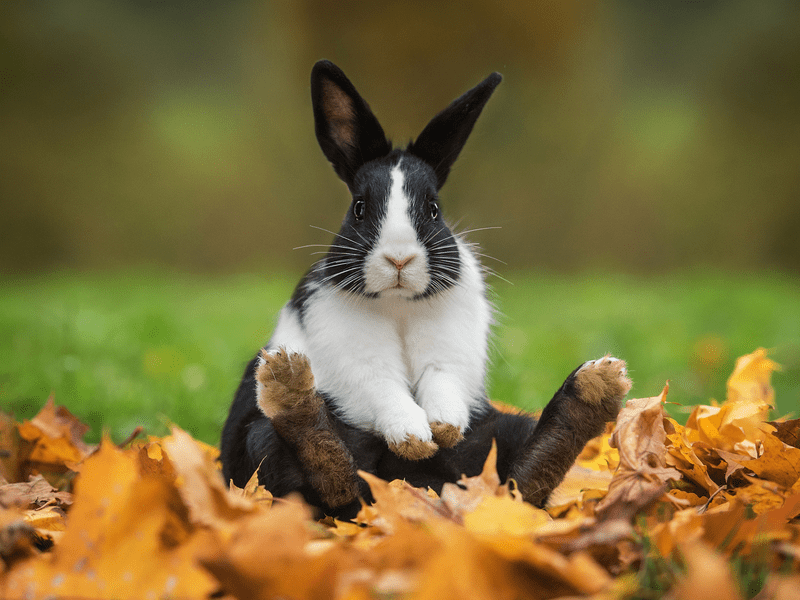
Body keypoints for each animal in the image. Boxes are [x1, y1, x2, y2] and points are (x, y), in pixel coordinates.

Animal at [220, 60, 631, 518]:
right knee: (331, 480)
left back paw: (593, 390)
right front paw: (414, 438)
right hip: (261, 440)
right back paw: (290, 387)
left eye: (433, 209)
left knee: (522, 481)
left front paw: (442, 428)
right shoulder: (355, 358)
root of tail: (422, 488)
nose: (399, 259)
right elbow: (383, 388)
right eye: (359, 208)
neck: (399, 305)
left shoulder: (449, 354)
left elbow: (441, 381)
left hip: (501, 431)